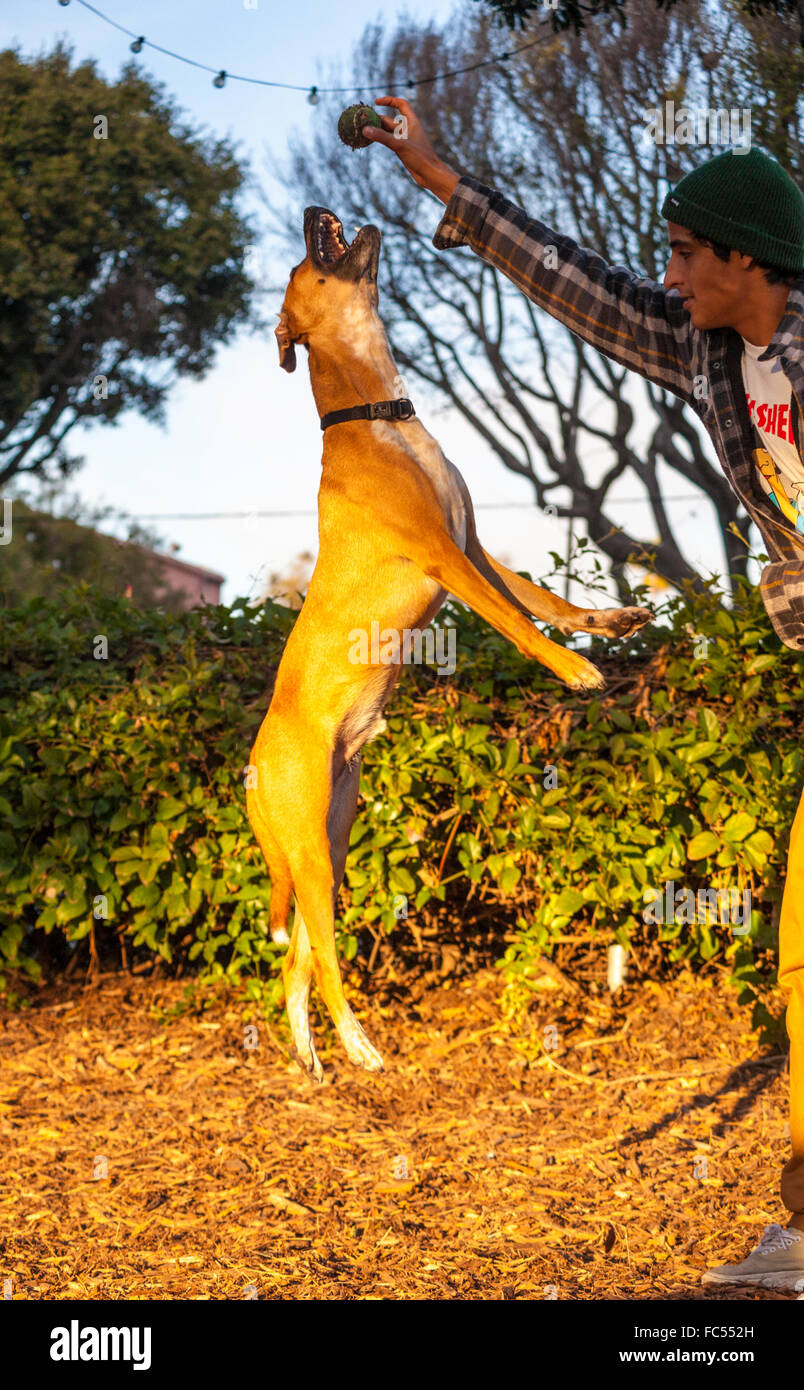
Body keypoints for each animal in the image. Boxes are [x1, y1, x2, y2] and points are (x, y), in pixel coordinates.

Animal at [246, 205, 650, 1078]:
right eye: (302, 259)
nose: (313, 211)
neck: (376, 420)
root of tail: (252, 774)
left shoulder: (477, 545)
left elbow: (546, 600)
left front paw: (609, 625)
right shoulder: (446, 557)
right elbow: (520, 626)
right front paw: (576, 672)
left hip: (330, 841)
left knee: (297, 958)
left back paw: (313, 1057)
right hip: (314, 857)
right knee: (328, 961)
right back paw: (359, 1046)